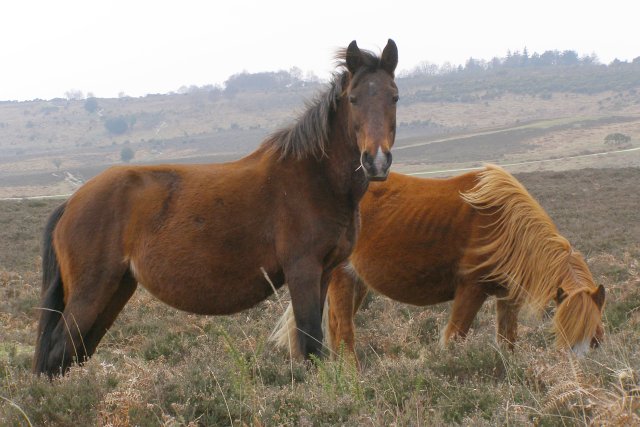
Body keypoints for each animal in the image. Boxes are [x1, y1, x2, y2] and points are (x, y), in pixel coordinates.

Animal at [33, 39, 400, 376]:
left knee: (75, 354)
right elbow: (310, 344)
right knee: (58, 354)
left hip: (116, 289)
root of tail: (72, 202)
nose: (376, 161)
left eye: (394, 96)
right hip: (91, 292)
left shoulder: (325, 273)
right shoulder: (303, 270)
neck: (314, 178)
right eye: (353, 99)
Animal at [271, 165, 606, 363]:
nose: (579, 382)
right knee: (343, 332)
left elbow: (507, 342)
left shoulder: (508, 297)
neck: (507, 227)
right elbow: (454, 339)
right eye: (564, 337)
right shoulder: (471, 289)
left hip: (357, 284)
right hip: (342, 277)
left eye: (596, 339)